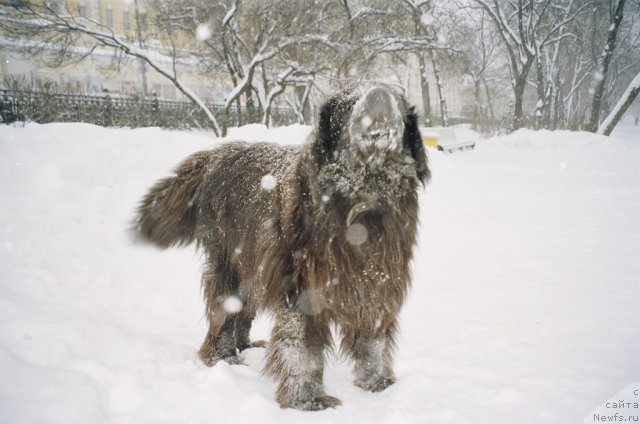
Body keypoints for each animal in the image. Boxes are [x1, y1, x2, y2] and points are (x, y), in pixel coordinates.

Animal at [134, 84, 430, 410]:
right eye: (350, 102)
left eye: (397, 97)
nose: (378, 93)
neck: (361, 199)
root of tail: (218, 156)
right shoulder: (302, 284)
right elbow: (302, 347)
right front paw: (308, 399)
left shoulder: (377, 277)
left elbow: (372, 335)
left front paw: (377, 382)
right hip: (231, 260)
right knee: (224, 310)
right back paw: (221, 357)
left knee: (243, 308)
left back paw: (245, 346)